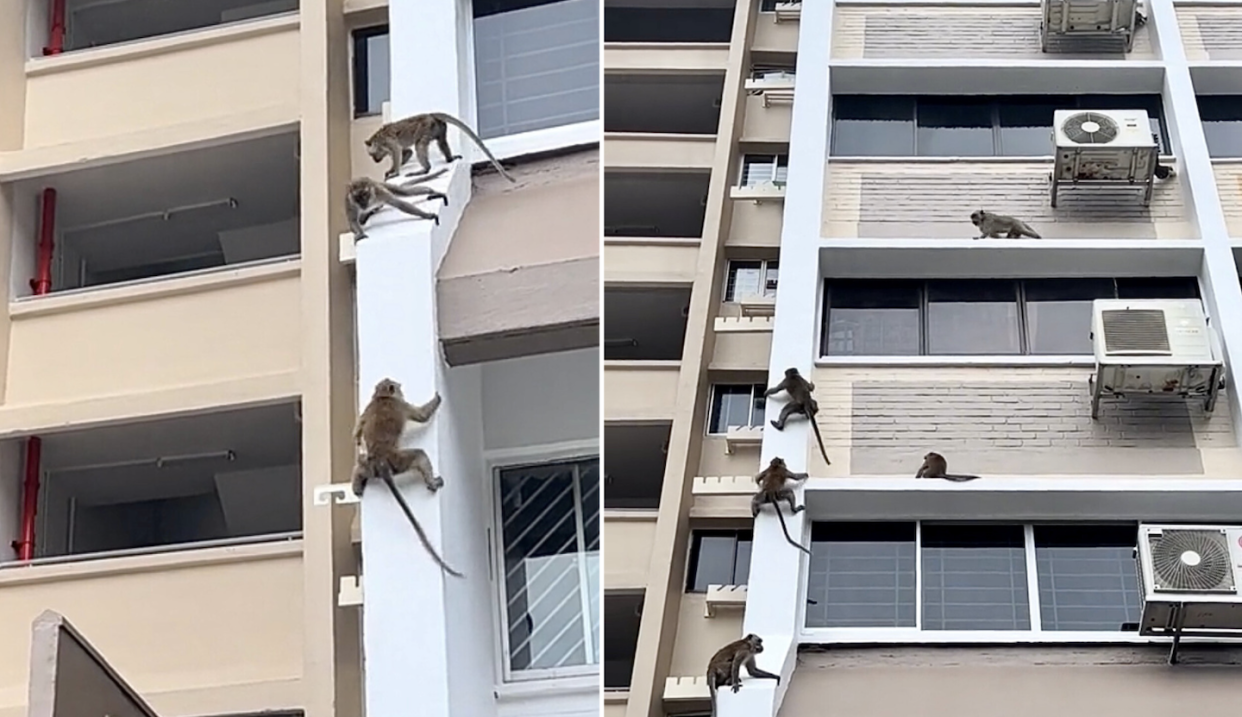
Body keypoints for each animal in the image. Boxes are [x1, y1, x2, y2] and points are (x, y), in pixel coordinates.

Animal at [362, 112, 514, 182]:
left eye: (372, 155)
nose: (375, 160)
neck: (377, 139)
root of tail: (430, 115)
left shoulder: (387, 142)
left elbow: (397, 151)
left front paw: (394, 172)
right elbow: (407, 152)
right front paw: (400, 164)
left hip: (425, 127)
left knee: (419, 145)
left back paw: (425, 169)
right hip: (438, 127)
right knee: (441, 142)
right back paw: (450, 159)